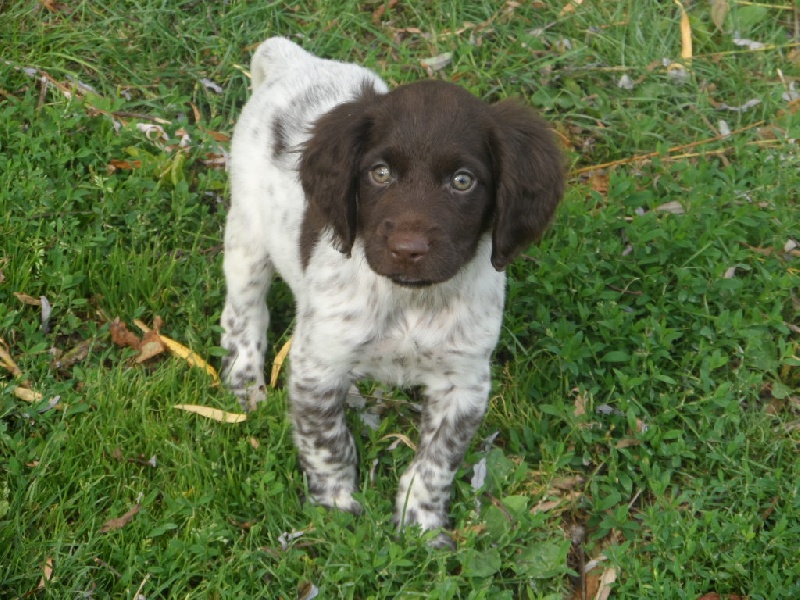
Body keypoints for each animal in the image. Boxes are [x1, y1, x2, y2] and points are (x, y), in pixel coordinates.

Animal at [221, 37, 564, 546]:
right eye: (379, 173)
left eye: (463, 181)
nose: (407, 249)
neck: (411, 302)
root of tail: (296, 60)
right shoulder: (318, 364)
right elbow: (327, 441)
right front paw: (336, 505)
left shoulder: (465, 380)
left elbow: (439, 459)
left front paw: (421, 523)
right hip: (248, 235)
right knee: (243, 314)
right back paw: (245, 384)